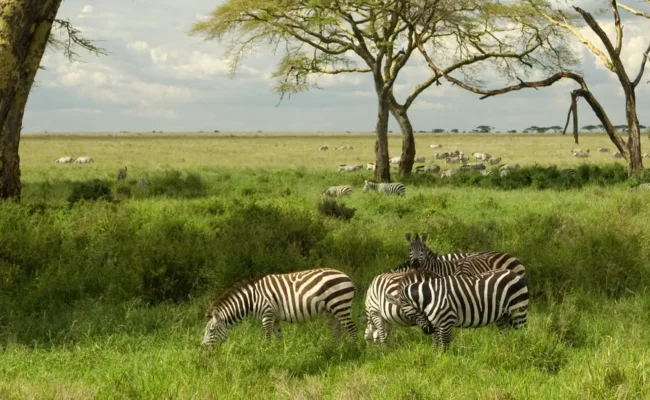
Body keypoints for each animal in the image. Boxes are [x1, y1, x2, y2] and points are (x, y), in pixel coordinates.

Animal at [202, 268, 357, 346]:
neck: (252, 300)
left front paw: (266, 355)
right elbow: (279, 337)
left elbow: (267, 337)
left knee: (352, 329)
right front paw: (280, 353)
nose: (203, 347)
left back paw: (354, 350)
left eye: (212, 330)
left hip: (340, 305)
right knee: (337, 330)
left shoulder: (267, 314)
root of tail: (346, 276)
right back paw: (337, 350)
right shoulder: (275, 317)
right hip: (332, 311)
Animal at [385, 268, 529, 350]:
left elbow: (445, 345)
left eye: (407, 314)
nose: (427, 331)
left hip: (518, 310)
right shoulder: (436, 323)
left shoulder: (446, 321)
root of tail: (515, 274)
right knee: (507, 335)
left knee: (522, 333)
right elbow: (436, 344)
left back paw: (520, 349)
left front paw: (445, 363)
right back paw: (505, 348)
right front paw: (435, 360)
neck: (431, 295)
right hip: (503, 316)